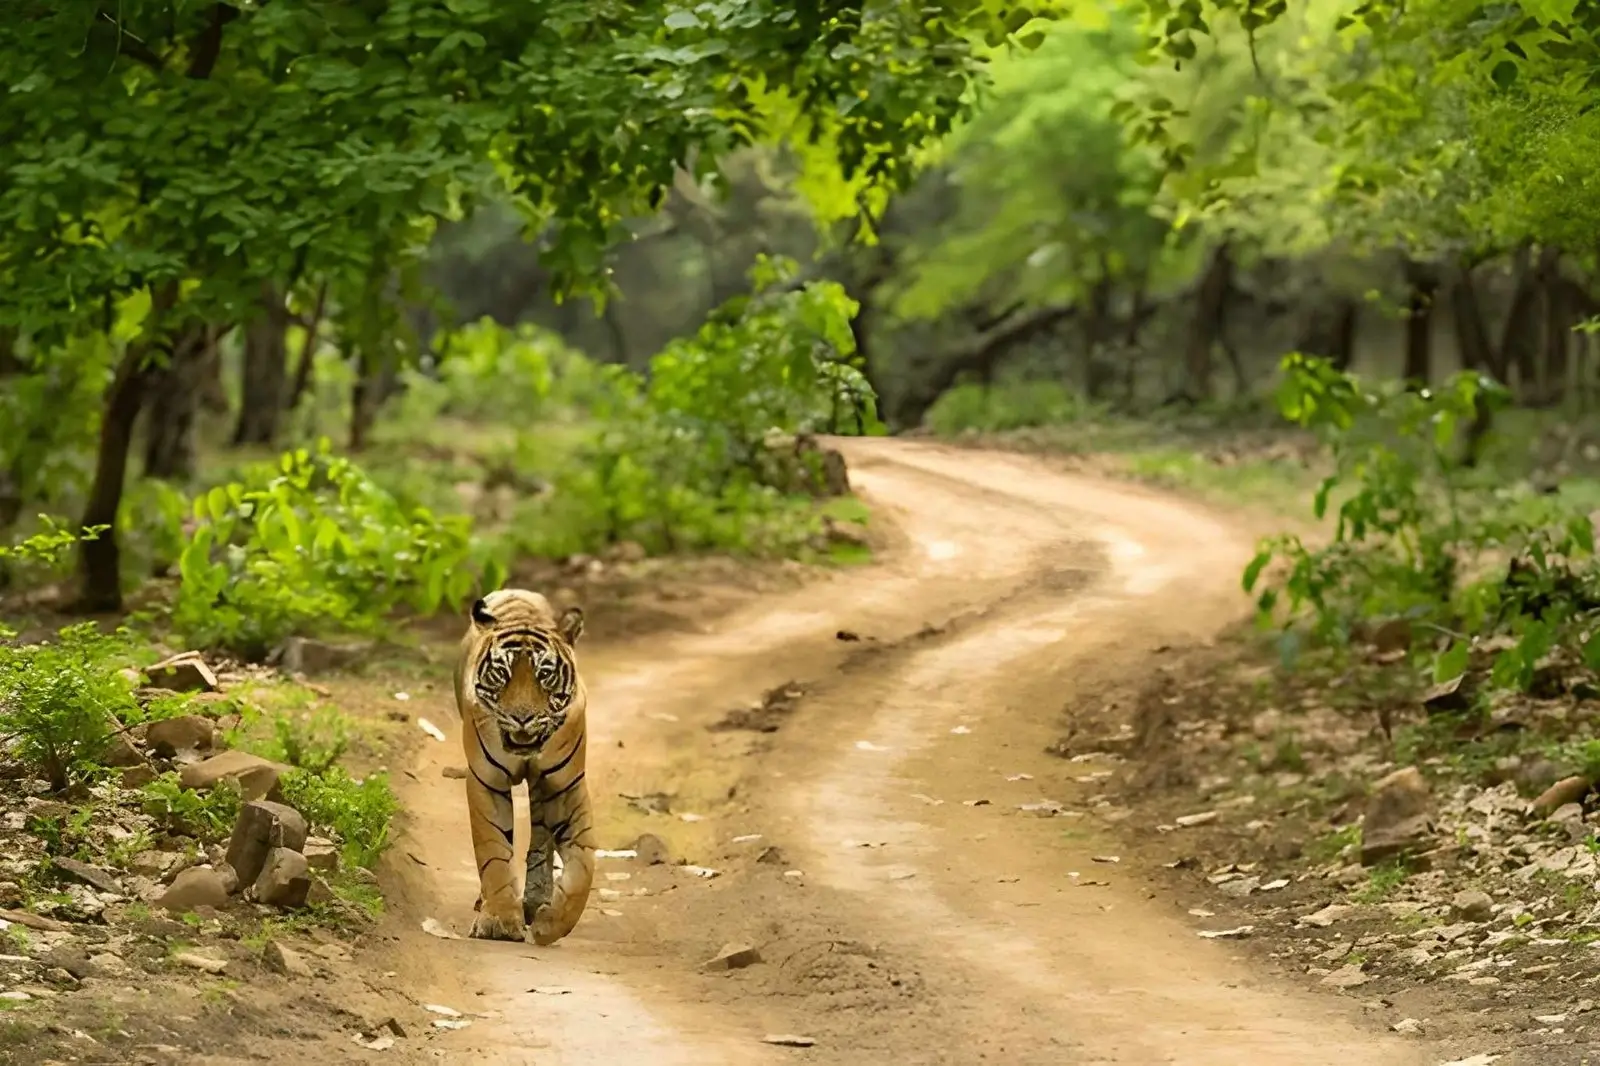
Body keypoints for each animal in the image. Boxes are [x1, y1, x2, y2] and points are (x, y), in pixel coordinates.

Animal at [454, 588, 593, 946]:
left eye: (544, 673)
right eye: (502, 673)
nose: (522, 717)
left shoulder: (566, 786)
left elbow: (584, 864)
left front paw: (550, 925)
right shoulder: (485, 782)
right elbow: (493, 853)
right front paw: (500, 922)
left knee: (541, 836)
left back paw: (536, 899)